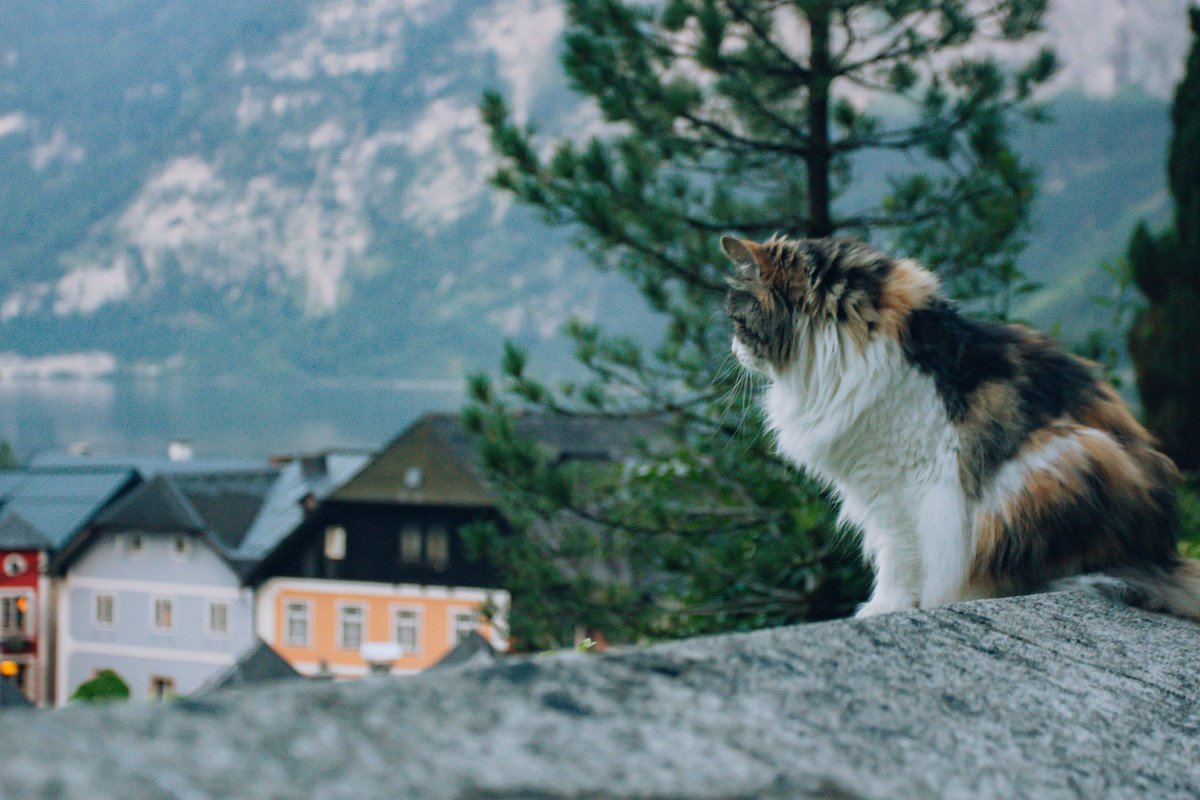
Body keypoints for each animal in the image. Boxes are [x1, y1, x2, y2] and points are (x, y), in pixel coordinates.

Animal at [720, 231, 1200, 618]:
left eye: (737, 322)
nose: (733, 349)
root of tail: (1162, 553)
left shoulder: (895, 488)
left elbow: (899, 557)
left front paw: (885, 608)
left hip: (1059, 461)